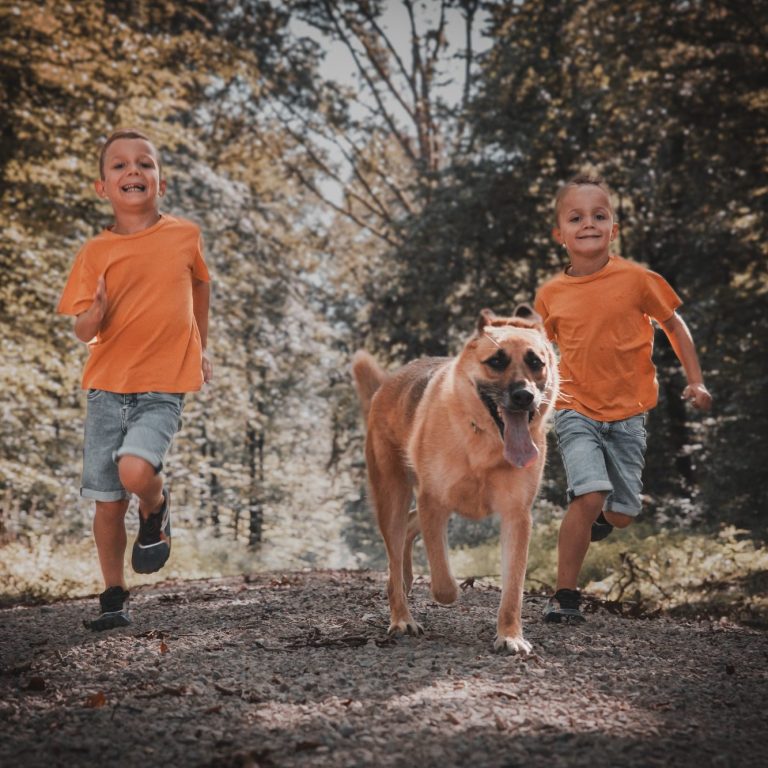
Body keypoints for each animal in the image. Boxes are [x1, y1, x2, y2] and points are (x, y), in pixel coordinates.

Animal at [352, 308, 560, 656]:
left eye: (536, 362)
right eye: (497, 361)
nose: (524, 396)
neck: (485, 441)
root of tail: (386, 385)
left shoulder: (517, 516)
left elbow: (513, 588)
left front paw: (510, 636)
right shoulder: (434, 502)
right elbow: (442, 578)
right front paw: (450, 593)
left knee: (408, 532)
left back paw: (406, 580)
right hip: (392, 499)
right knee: (395, 553)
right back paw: (402, 617)